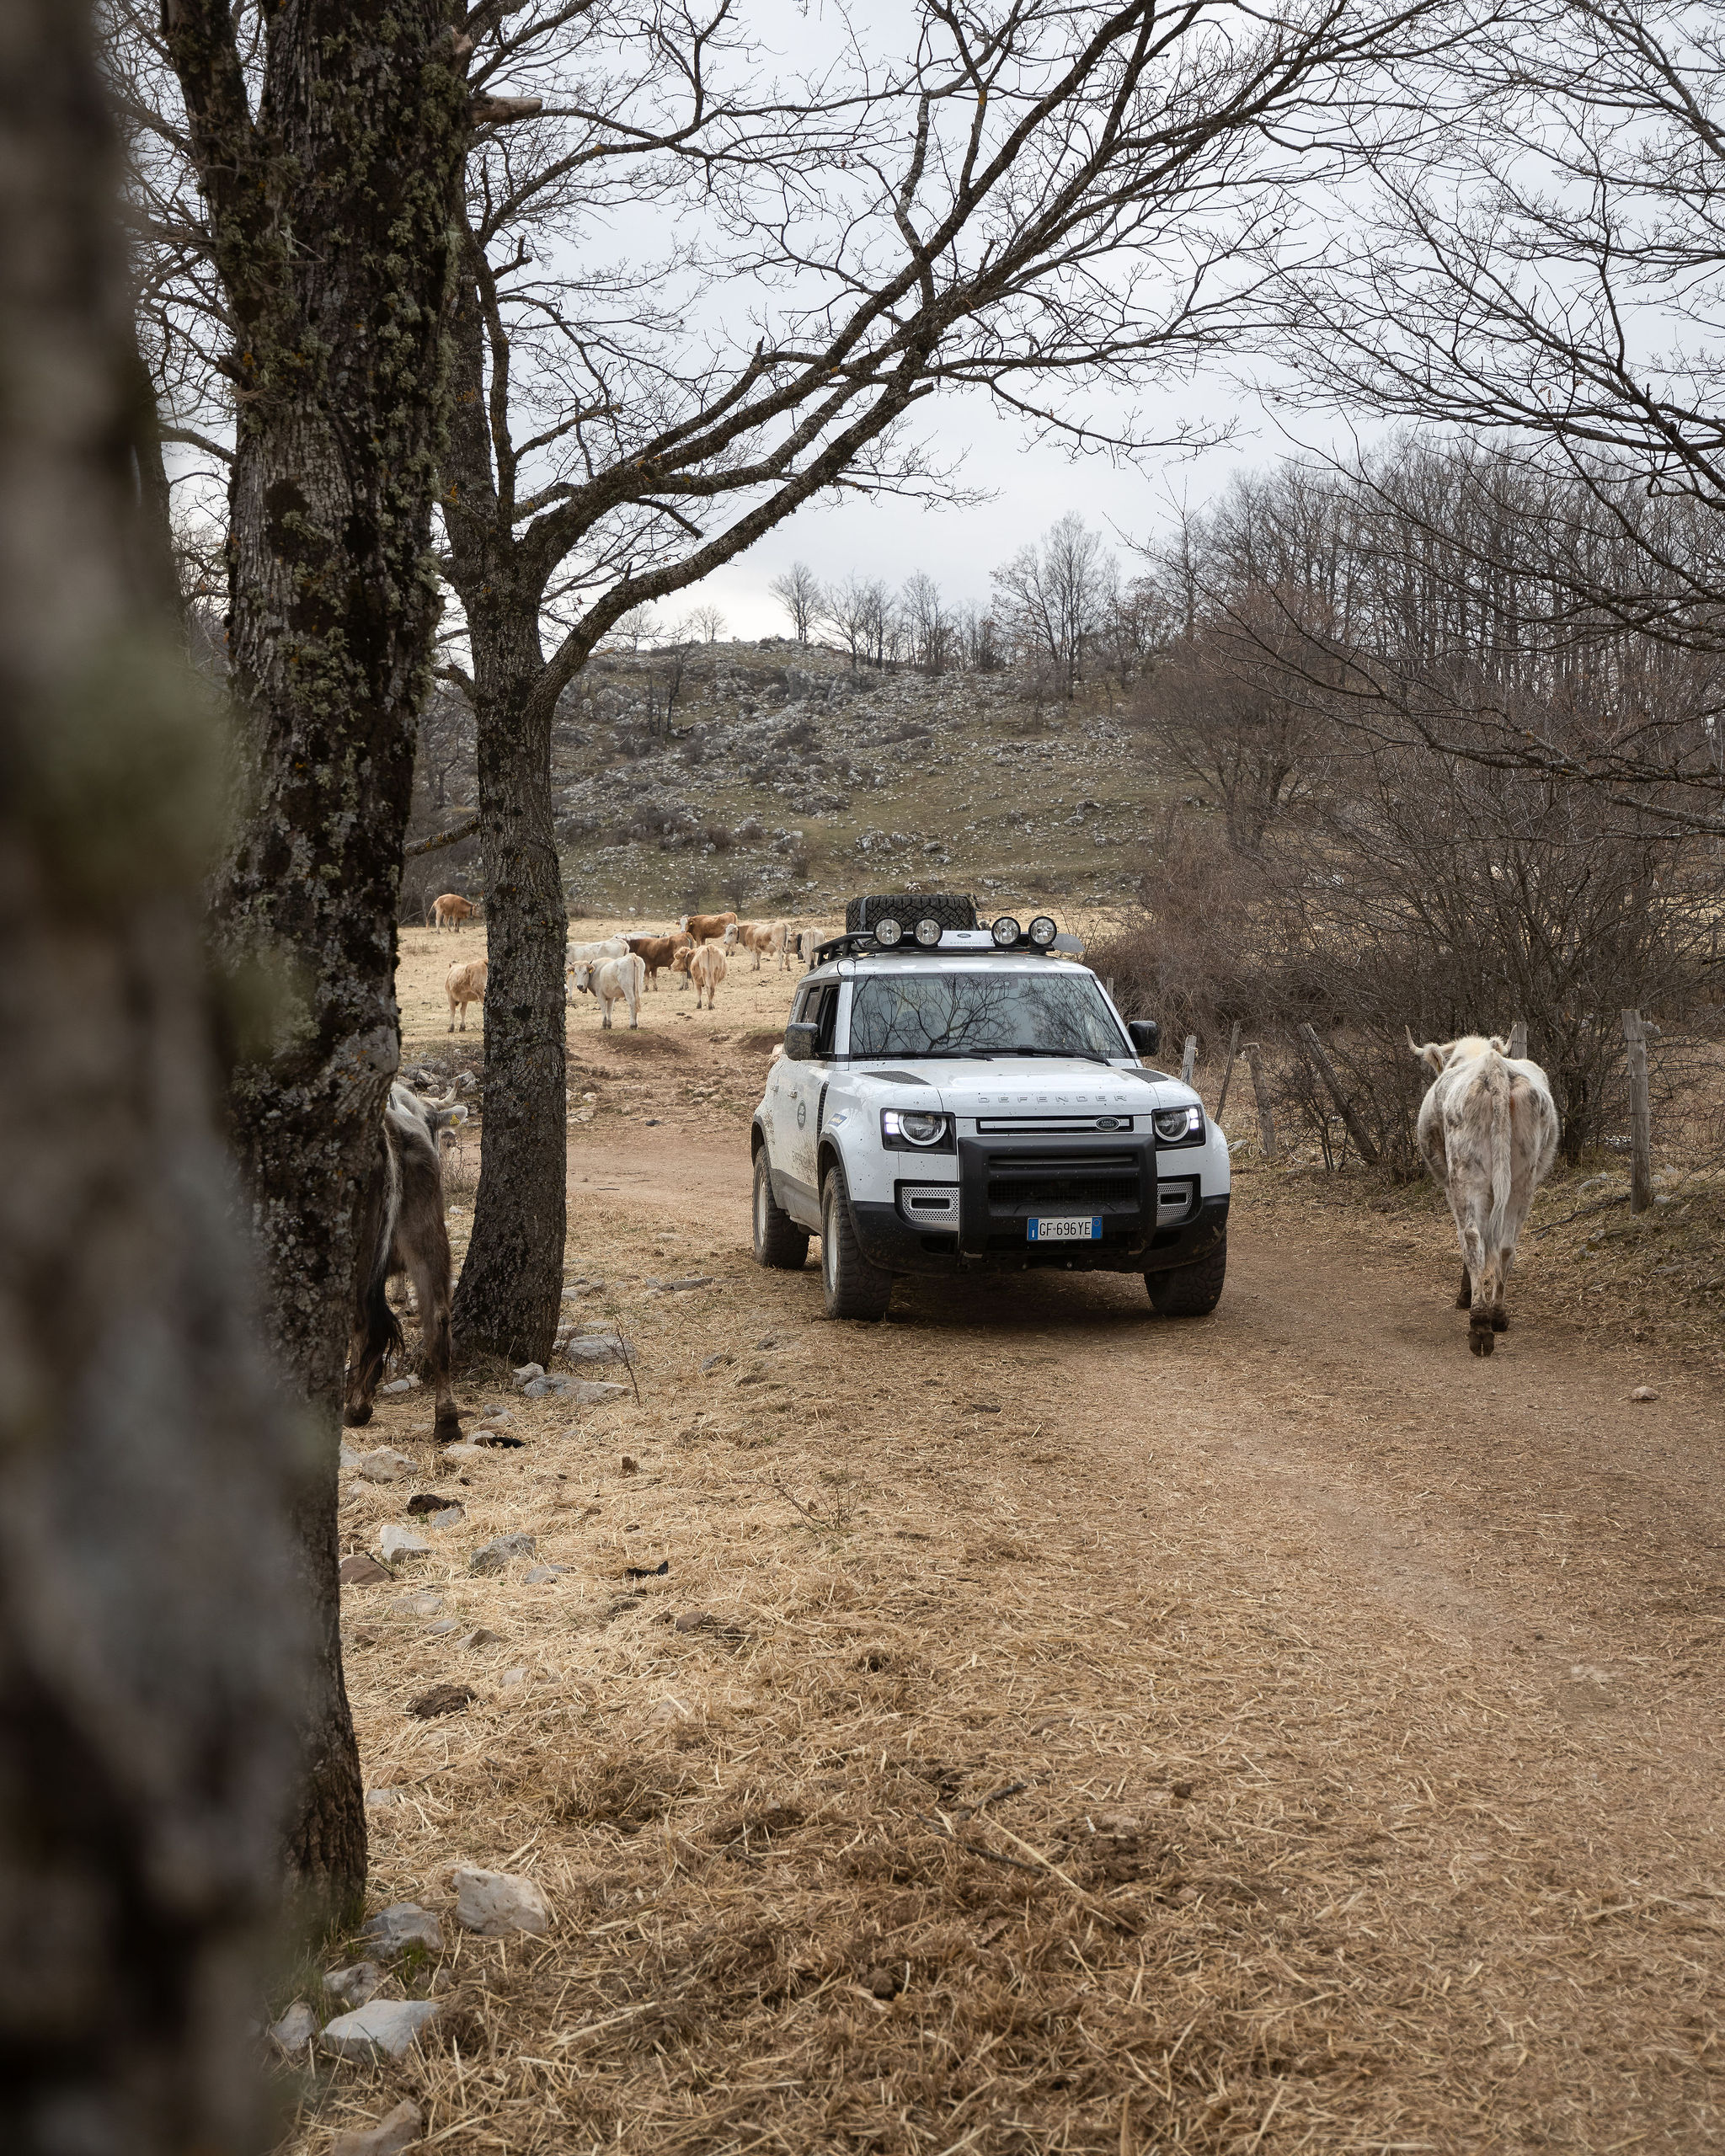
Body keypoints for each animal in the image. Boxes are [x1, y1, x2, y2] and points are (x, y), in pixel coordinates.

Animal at [344, 1078, 467, 1449]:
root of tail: (388, 1128)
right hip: (429, 1236)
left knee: (364, 1321)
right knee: (438, 1317)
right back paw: (447, 1421)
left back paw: (356, 1407)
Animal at [1414, 1030, 1561, 1362]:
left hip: (1466, 1175)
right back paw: (1497, 1315)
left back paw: (1479, 1324)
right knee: (1506, 1244)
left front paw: (1465, 1294)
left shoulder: (1450, 1187)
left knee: (1472, 1237)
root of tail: (1495, 1068)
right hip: (1522, 1180)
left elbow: (1468, 1240)